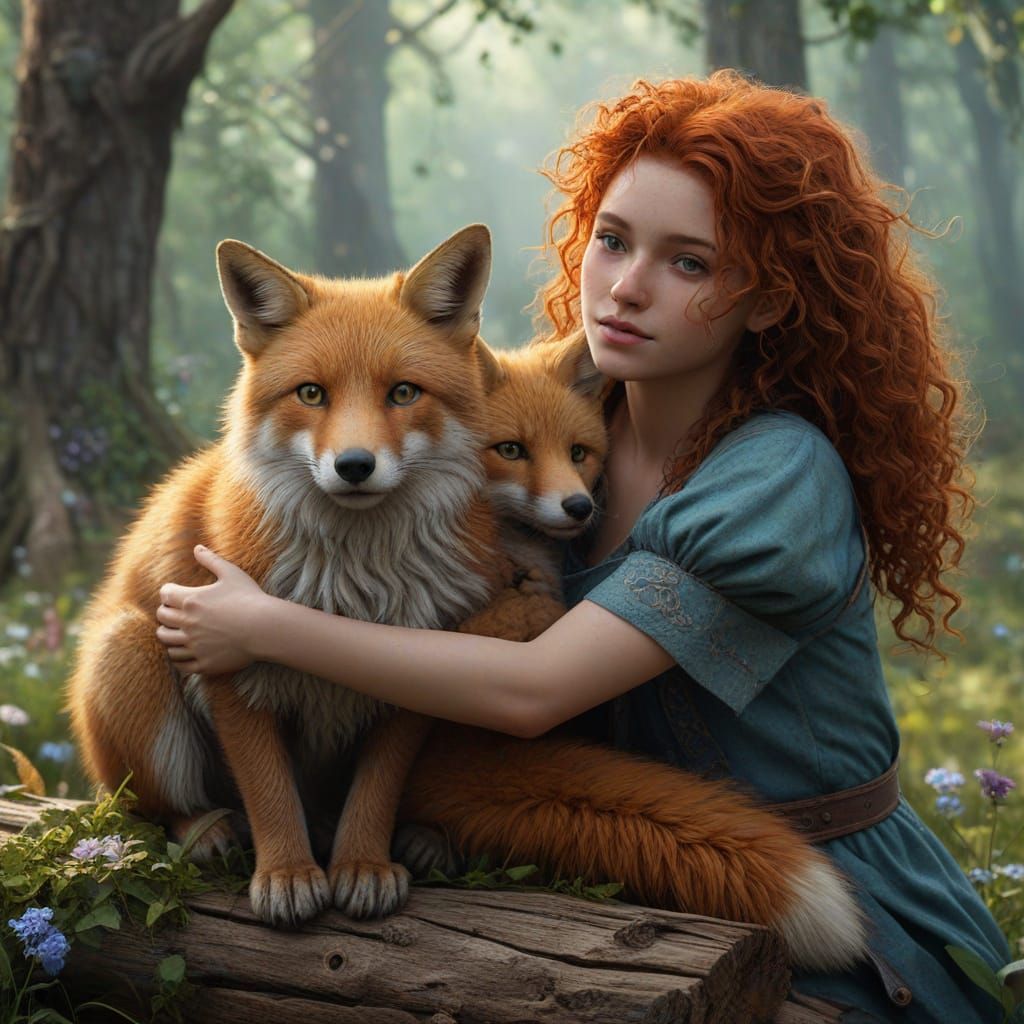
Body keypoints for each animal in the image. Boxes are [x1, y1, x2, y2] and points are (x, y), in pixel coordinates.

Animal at [67, 224, 533, 927]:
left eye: (403, 393)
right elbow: (268, 791)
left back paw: (423, 839)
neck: (354, 587)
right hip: (132, 649)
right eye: (311, 393)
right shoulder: (228, 673)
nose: (355, 465)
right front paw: (286, 873)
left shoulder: (417, 671)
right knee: (147, 810)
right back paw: (207, 829)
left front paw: (362, 864)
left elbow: (376, 790)